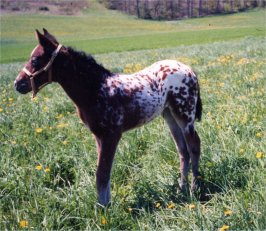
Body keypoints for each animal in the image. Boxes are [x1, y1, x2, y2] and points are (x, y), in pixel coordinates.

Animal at [14, 29, 202, 206]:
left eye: (35, 60)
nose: (17, 84)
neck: (96, 89)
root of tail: (189, 69)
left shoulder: (112, 135)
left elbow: (102, 173)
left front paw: (102, 210)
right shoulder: (99, 136)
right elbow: (103, 171)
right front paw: (106, 204)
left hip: (185, 115)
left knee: (194, 146)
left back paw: (194, 189)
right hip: (169, 115)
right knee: (182, 150)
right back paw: (181, 189)